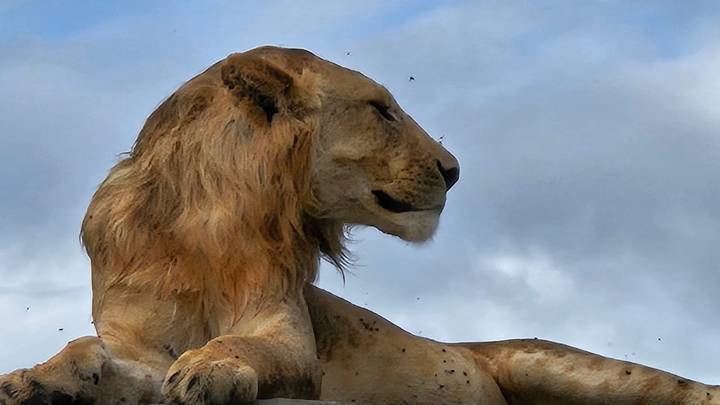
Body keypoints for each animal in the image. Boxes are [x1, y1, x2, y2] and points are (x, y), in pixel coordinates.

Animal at [1, 46, 718, 405]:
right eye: (381, 109)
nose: (455, 170)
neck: (208, 224)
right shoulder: (139, 344)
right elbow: (93, 353)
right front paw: (36, 377)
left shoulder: (288, 336)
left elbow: (245, 346)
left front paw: (212, 368)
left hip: (570, 369)